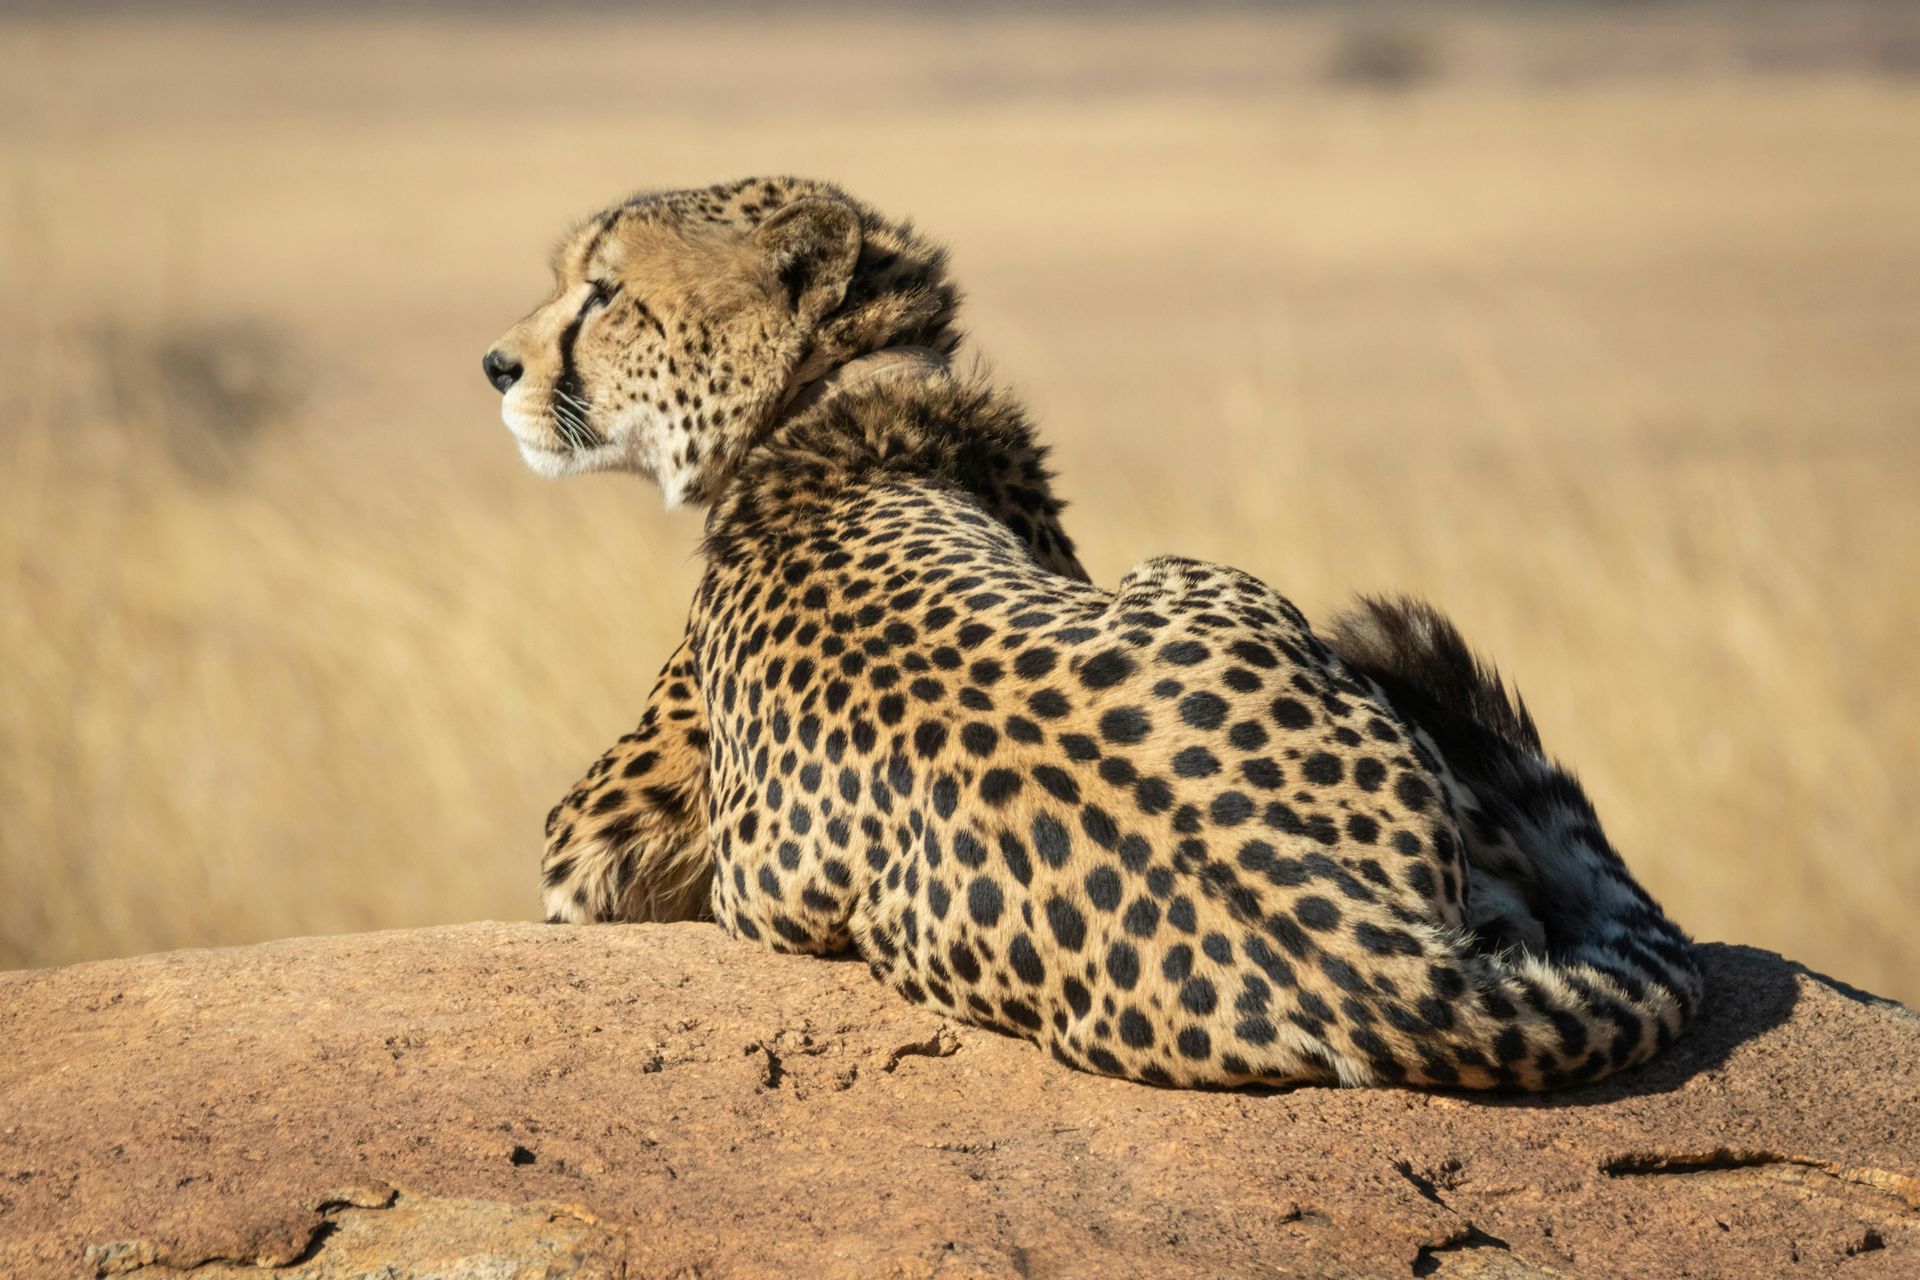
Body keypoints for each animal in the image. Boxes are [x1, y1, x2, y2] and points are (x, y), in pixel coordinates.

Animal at [487, 175, 1704, 1090]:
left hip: (1195, 569)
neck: (834, 397)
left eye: (603, 294)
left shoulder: (593, 835)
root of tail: (1369, 960)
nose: (497, 365)